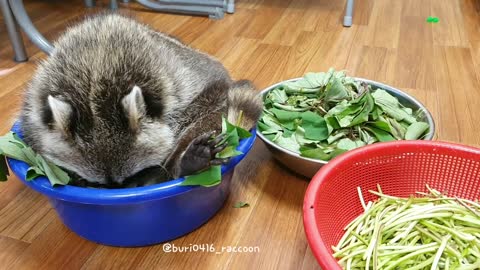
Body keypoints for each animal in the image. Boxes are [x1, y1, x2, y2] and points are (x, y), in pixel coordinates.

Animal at [20, 12, 262, 188]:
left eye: (132, 176)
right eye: (97, 183)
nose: (121, 189)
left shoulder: (184, 80)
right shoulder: (34, 106)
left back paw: (184, 164)